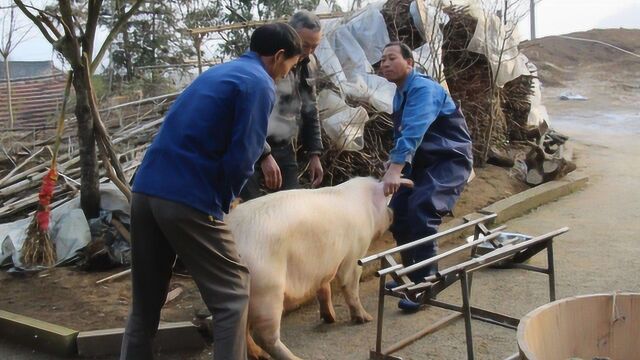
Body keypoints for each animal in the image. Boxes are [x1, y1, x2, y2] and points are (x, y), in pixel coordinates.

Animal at [226, 177, 404, 360]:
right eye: (387, 200)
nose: (393, 212)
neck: (366, 206)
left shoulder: (323, 266)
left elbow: (324, 288)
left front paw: (330, 318)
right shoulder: (354, 253)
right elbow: (350, 285)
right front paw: (367, 319)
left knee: (242, 328)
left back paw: (258, 355)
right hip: (267, 288)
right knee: (264, 336)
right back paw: (294, 358)